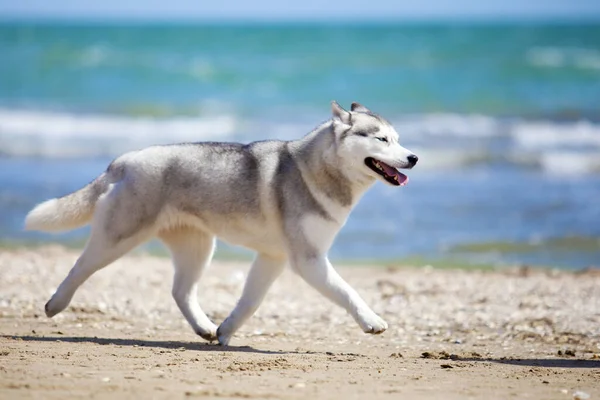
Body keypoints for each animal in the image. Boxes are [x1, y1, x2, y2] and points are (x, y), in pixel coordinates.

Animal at [24, 101, 418, 346]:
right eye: (382, 139)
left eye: (399, 140)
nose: (414, 157)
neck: (317, 169)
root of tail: (122, 161)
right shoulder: (308, 260)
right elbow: (348, 291)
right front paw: (371, 321)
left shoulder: (273, 258)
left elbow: (250, 301)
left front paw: (227, 331)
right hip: (118, 237)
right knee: (80, 265)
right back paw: (55, 304)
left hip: (198, 247)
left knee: (181, 291)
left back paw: (204, 328)